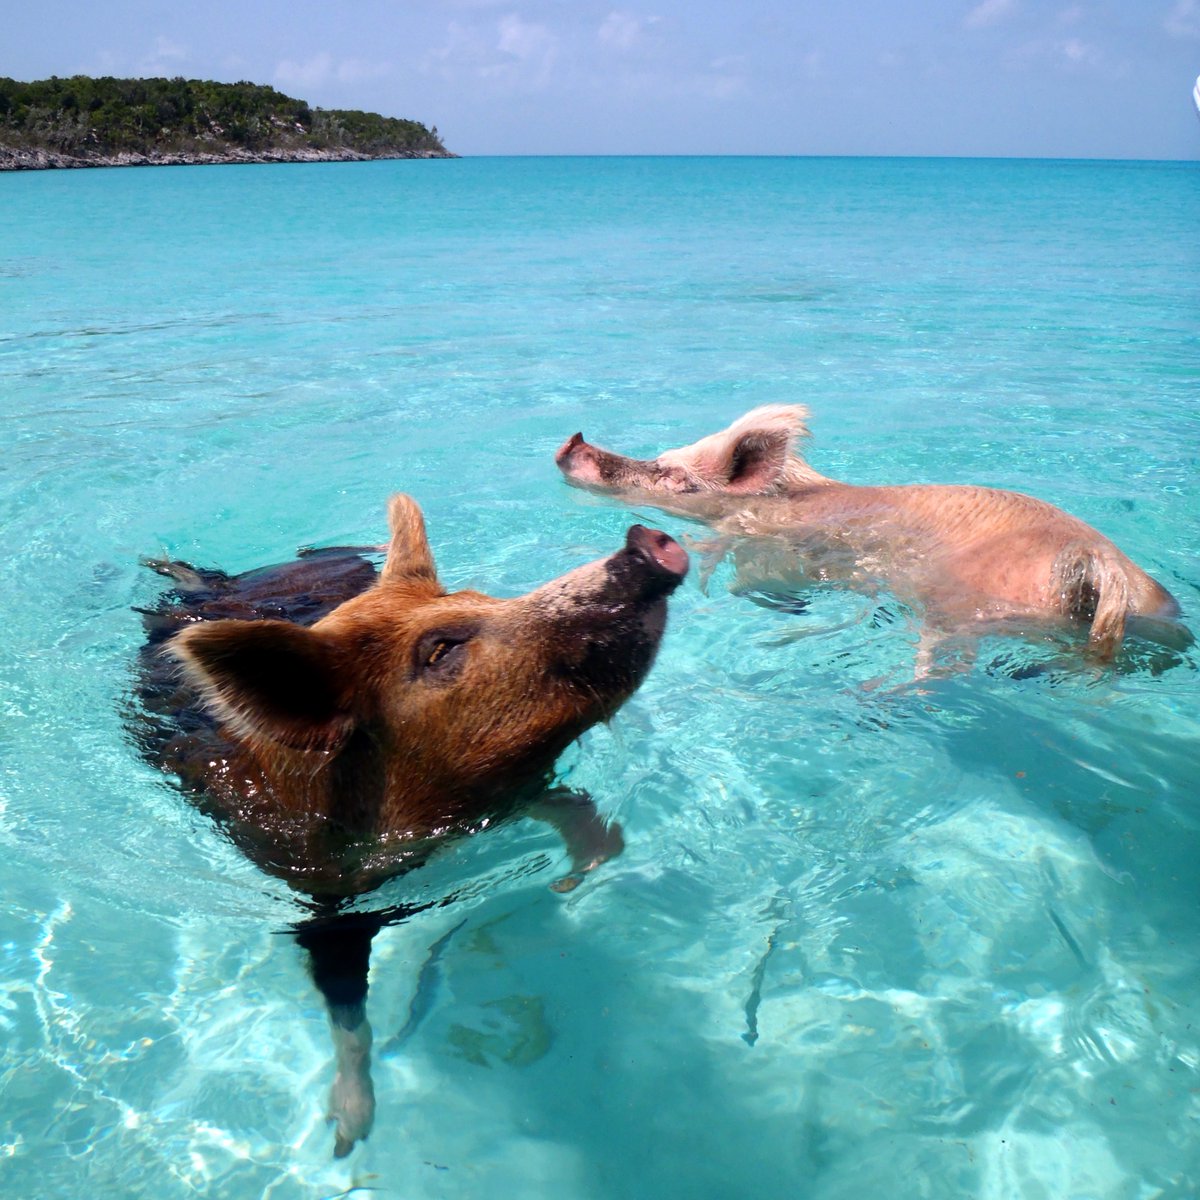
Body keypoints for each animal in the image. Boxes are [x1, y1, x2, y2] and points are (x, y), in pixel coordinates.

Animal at [131, 494, 687, 1156]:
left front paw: (575, 879)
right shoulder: (324, 903)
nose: (649, 543)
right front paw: (349, 1137)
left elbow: (575, 811)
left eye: (481, 597)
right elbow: (347, 1013)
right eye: (440, 649)